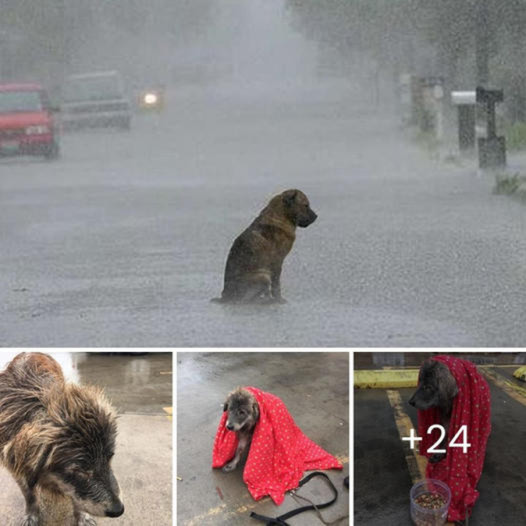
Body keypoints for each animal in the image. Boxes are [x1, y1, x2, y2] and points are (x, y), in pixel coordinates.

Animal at [0, 352, 125, 524]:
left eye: (110, 457)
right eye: (79, 471)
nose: (119, 509)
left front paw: (83, 517)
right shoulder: (17, 469)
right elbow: (29, 494)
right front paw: (31, 516)